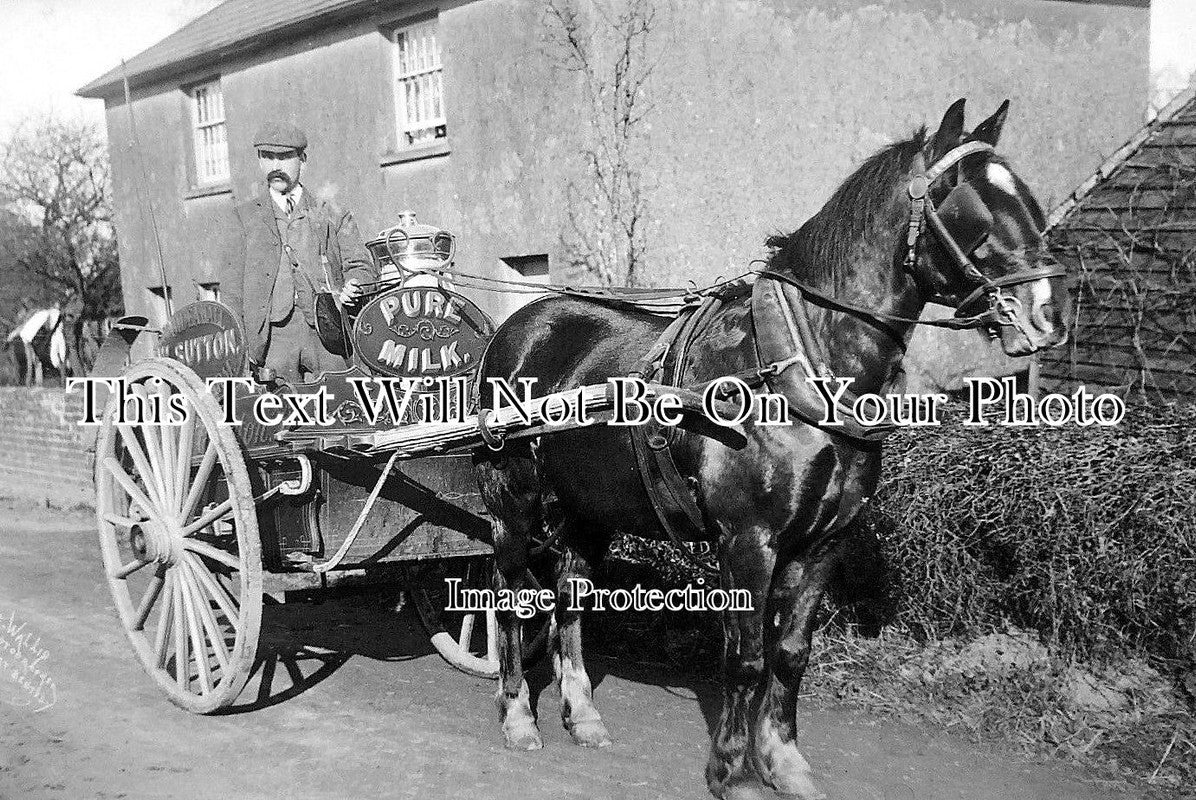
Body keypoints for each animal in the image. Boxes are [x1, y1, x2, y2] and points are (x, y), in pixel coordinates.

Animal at [466, 99, 1066, 798]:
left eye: (1028, 198)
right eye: (970, 208)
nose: (1049, 313)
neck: (796, 366)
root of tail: (518, 325)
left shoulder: (823, 544)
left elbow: (790, 654)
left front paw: (783, 760)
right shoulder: (748, 539)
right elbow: (746, 659)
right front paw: (733, 772)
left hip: (591, 509)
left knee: (569, 596)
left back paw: (581, 713)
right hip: (514, 501)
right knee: (509, 596)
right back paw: (517, 715)